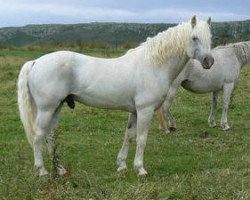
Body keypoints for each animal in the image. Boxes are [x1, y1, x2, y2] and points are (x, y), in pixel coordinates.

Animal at [17, 16, 213, 175]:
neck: (152, 65)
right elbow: (142, 138)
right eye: (194, 37)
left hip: (56, 107)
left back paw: (60, 169)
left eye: (210, 38)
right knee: (38, 135)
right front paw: (140, 168)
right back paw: (42, 171)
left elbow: (129, 136)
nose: (209, 62)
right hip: (46, 109)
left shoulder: (134, 111)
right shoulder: (145, 110)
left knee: (50, 136)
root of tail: (36, 62)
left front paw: (122, 165)